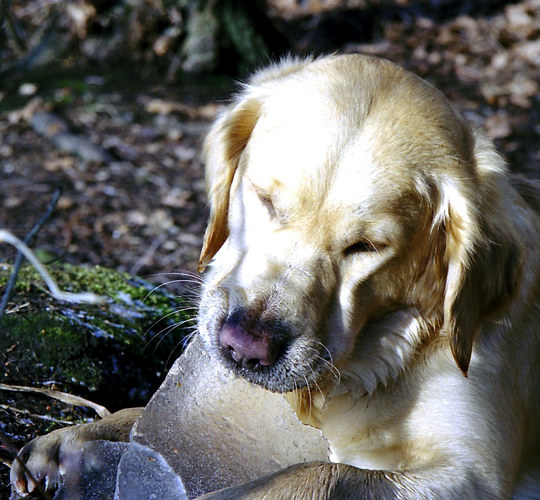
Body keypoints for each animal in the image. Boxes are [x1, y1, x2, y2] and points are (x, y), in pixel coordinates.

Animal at [9, 52, 540, 498]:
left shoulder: (470, 472)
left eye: (366, 247)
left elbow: (321, 472)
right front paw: (82, 442)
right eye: (264, 198)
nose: (245, 347)